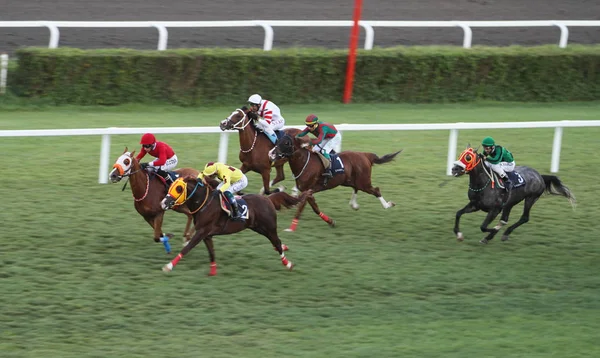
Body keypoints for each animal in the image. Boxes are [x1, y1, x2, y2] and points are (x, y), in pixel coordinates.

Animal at [159, 175, 312, 276]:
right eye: (171, 187)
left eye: (179, 188)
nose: (163, 203)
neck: (205, 204)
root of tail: (267, 199)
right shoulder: (207, 235)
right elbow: (211, 253)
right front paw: (213, 271)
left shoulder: (202, 232)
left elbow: (187, 248)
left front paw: (168, 266)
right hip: (258, 228)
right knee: (276, 243)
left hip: (269, 228)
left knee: (277, 242)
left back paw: (288, 263)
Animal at [268, 134, 400, 232]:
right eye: (278, 141)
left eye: (286, 143)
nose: (271, 153)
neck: (304, 163)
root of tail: (365, 155)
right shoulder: (308, 191)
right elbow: (315, 208)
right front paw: (331, 222)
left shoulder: (307, 190)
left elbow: (300, 208)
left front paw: (291, 228)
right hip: (349, 180)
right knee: (356, 188)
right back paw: (354, 204)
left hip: (364, 182)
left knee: (376, 190)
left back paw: (387, 205)